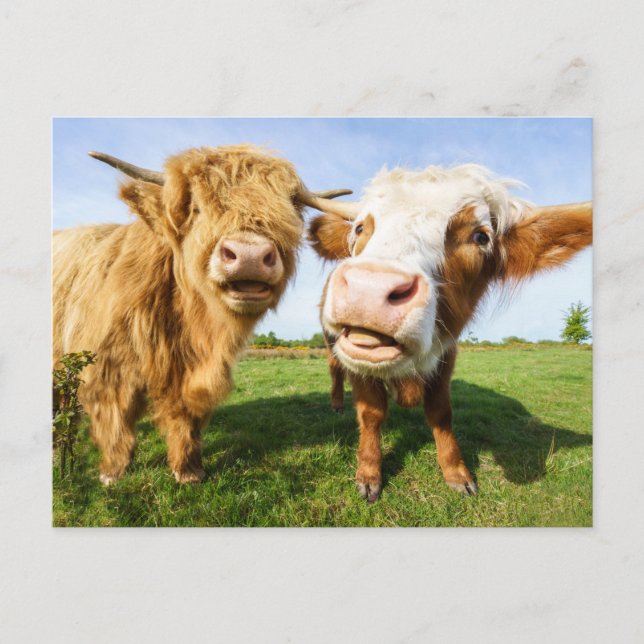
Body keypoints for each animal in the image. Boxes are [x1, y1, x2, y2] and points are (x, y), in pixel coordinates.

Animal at [53, 145, 347, 485]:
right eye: (196, 208)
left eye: (287, 210)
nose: (249, 255)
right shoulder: (107, 366)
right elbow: (115, 417)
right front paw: (113, 473)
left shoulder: (190, 372)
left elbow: (185, 415)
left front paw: (188, 470)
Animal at [308, 164, 592, 502]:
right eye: (361, 228)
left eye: (480, 236)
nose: (369, 288)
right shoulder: (358, 363)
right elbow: (372, 413)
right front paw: (368, 474)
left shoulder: (446, 356)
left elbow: (441, 412)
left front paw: (456, 472)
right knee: (334, 369)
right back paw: (337, 403)